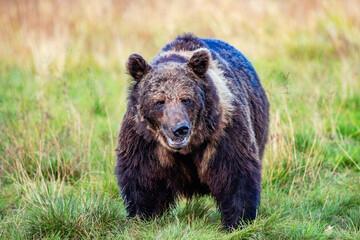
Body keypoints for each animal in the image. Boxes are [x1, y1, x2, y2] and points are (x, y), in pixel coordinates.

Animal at [114, 33, 268, 229]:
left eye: (186, 99)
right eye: (159, 101)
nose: (180, 128)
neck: (187, 148)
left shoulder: (224, 132)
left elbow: (236, 174)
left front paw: (238, 221)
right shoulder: (144, 141)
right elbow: (142, 179)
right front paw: (143, 217)